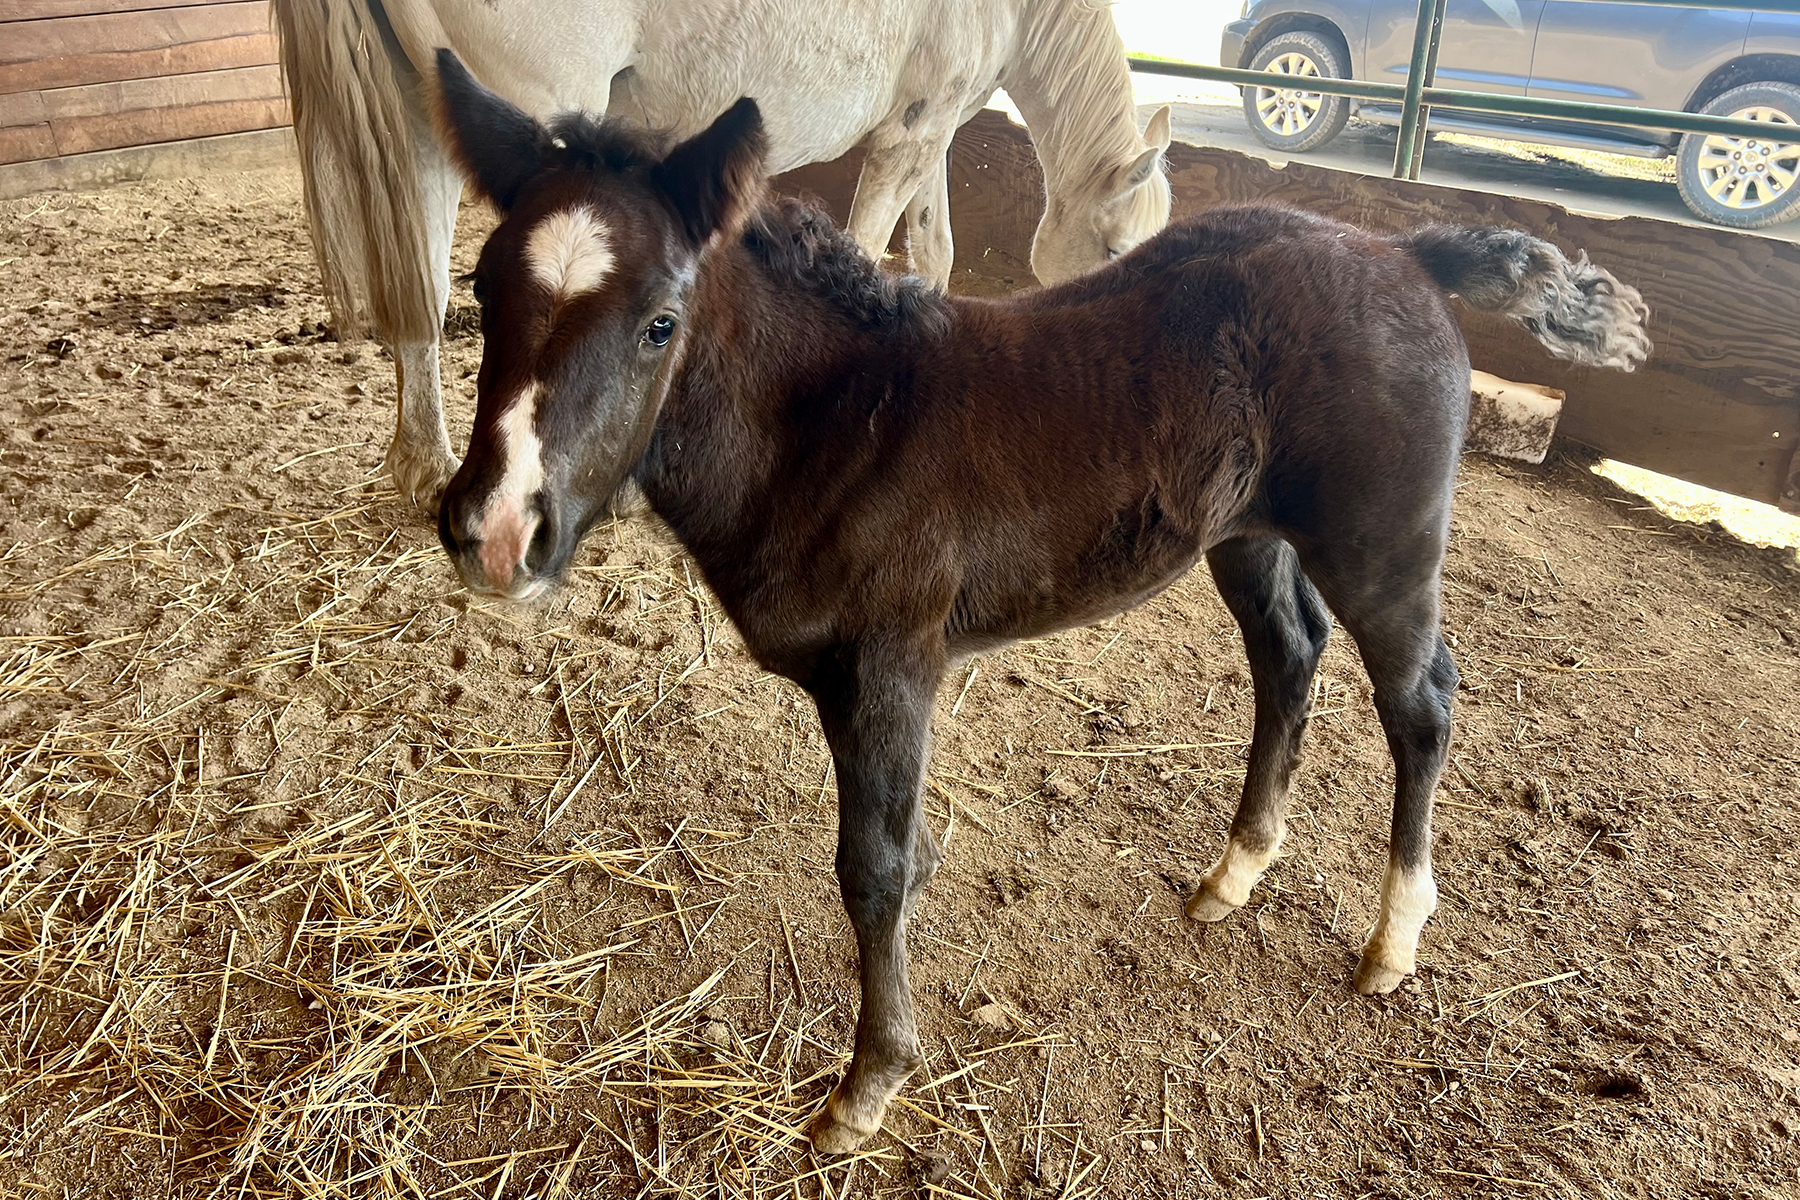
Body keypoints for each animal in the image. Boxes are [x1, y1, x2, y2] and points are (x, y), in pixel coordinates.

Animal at [272, 0, 1174, 512]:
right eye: (1117, 246)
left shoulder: (937, 132)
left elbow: (935, 253)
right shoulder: (913, 132)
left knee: (418, 283)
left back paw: (423, 464)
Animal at [426, 53, 1651, 1152]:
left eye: (660, 323)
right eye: (481, 289)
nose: (496, 531)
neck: (841, 424)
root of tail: (1404, 248)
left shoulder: (891, 672)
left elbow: (878, 871)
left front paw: (866, 1090)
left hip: (1381, 549)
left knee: (1421, 703)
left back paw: (1392, 944)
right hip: (1247, 536)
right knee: (1289, 656)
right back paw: (1234, 874)